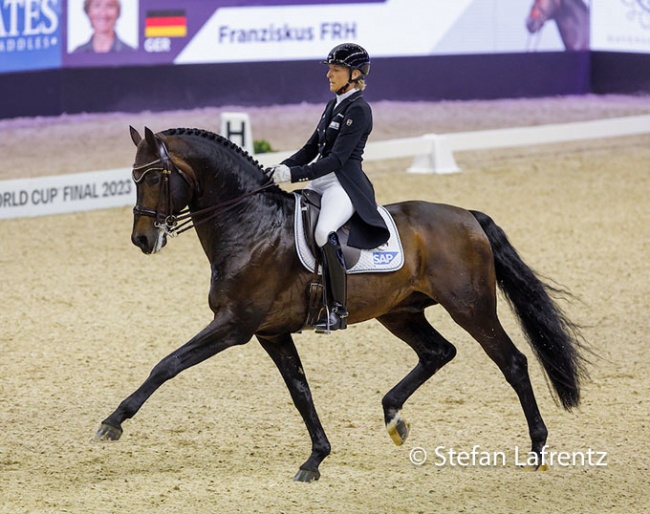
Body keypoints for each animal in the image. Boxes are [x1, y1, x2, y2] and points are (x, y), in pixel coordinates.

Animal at [95, 125, 588, 480]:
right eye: (132, 177)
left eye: (153, 176)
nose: (142, 239)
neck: (250, 224)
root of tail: (467, 215)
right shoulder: (270, 333)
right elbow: (301, 392)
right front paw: (316, 459)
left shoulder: (235, 325)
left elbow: (167, 364)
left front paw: (114, 422)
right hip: (400, 312)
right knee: (438, 352)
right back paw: (393, 417)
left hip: (471, 306)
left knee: (513, 362)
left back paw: (537, 449)